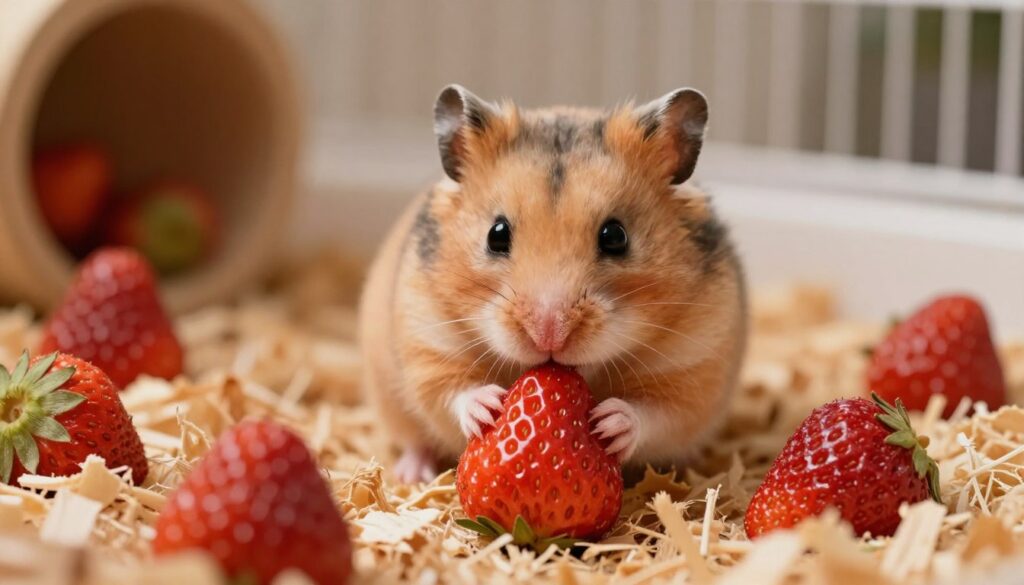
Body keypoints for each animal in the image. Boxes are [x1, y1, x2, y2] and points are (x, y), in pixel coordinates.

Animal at [359, 85, 747, 483]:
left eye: (615, 236)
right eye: (496, 234)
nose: (549, 335)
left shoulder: (695, 367)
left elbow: (657, 413)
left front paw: (609, 423)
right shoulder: (428, 343)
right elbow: (451, 392)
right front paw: (490, 408)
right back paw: (412, 474)